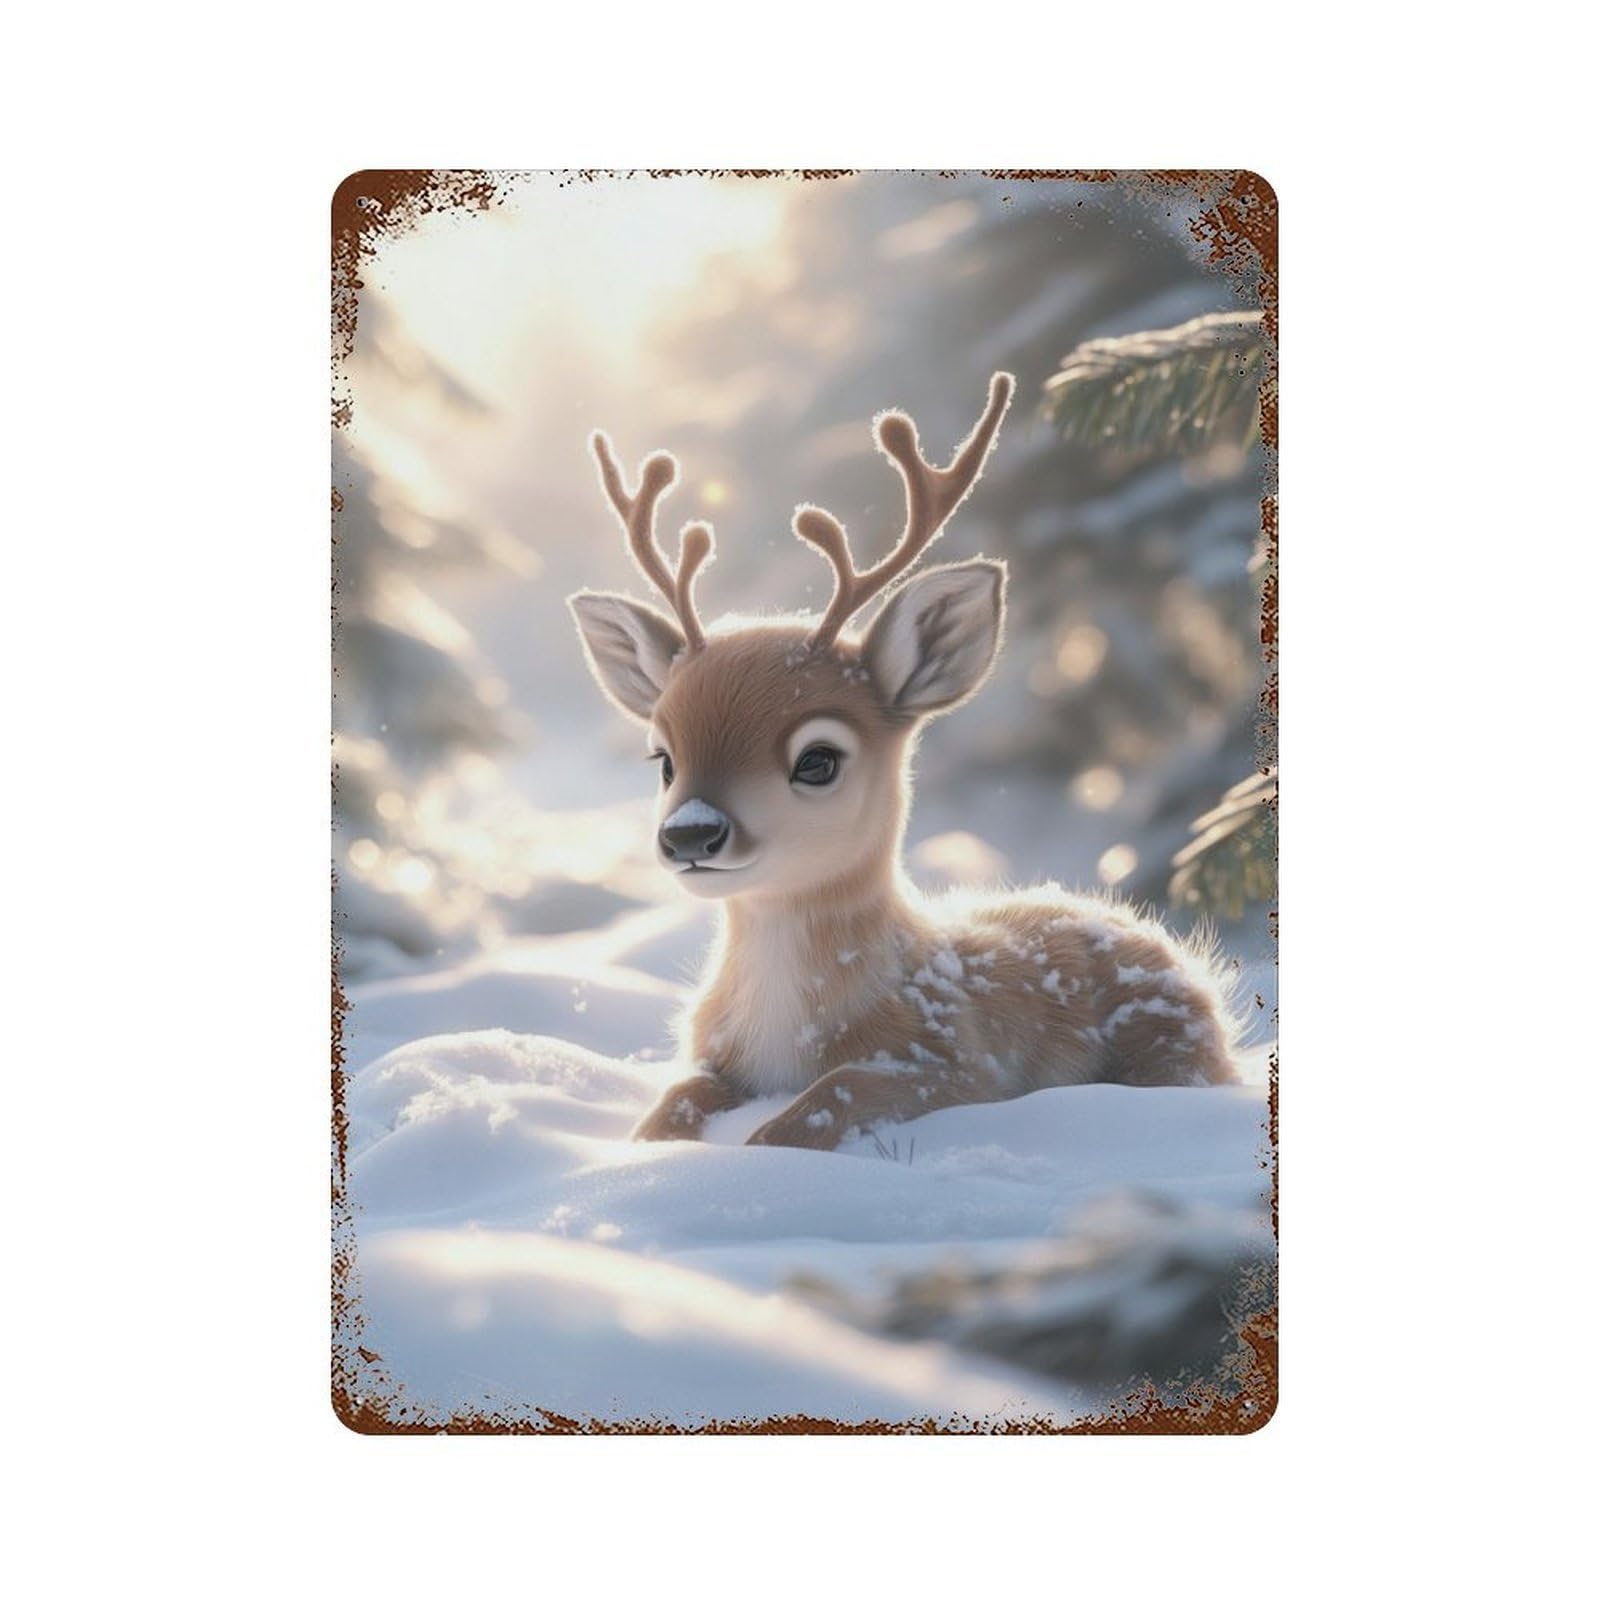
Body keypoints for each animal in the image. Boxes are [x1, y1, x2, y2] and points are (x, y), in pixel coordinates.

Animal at [569, 372, 1241, 1153]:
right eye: (663, 759)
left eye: (818, 760)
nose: (690, 833)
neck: (786, 1027)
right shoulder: (711, 1057)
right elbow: (665, 1110)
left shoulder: (949, 1061)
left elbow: (810, 1111)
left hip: (1169, 1042)